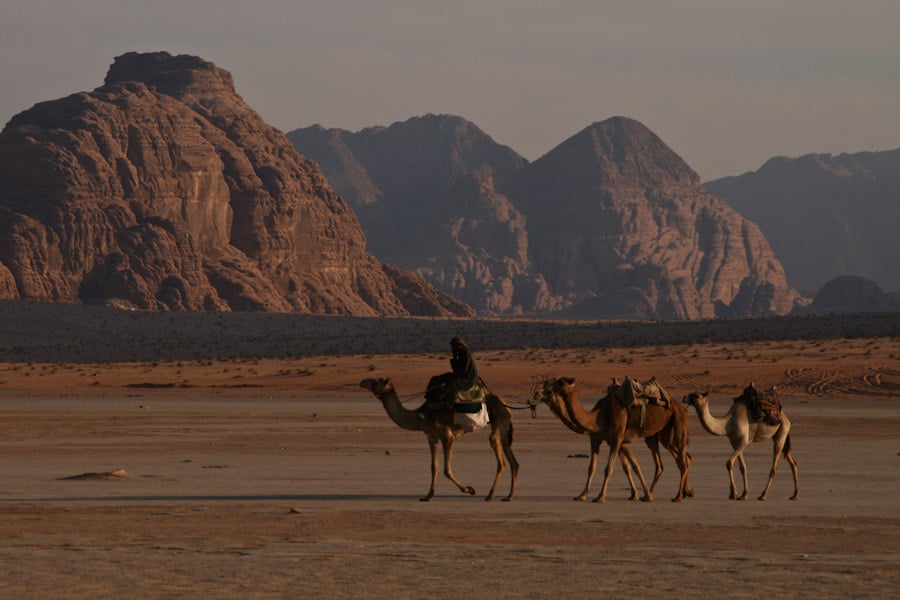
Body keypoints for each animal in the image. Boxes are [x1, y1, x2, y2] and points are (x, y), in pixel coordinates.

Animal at [356, 380, 516, 502]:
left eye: (376, 381)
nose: (362, 382)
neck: (421, 416)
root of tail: (506, 404)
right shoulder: (431, 437)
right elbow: (434, 467)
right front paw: (427, 496)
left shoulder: (447, 436)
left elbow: (446, 470)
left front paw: (469, 489)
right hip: (503, 427)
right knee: (513, 461)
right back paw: (508, 496)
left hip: (498, 420)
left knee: (499, 456)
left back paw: (490, 495)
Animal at [536, 380, 692, 502]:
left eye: (559, 383)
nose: (537, 393)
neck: (598, 417)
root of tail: (680, 406)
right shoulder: (600, 439)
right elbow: (596, 468)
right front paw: (582, 495)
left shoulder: (617, 438)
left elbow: (609, 468)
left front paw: (600, 497)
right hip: (661, 435)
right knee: (673, 460)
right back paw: (677, 493)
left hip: (678, 423)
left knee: (682, 460)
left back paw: (678, 496)